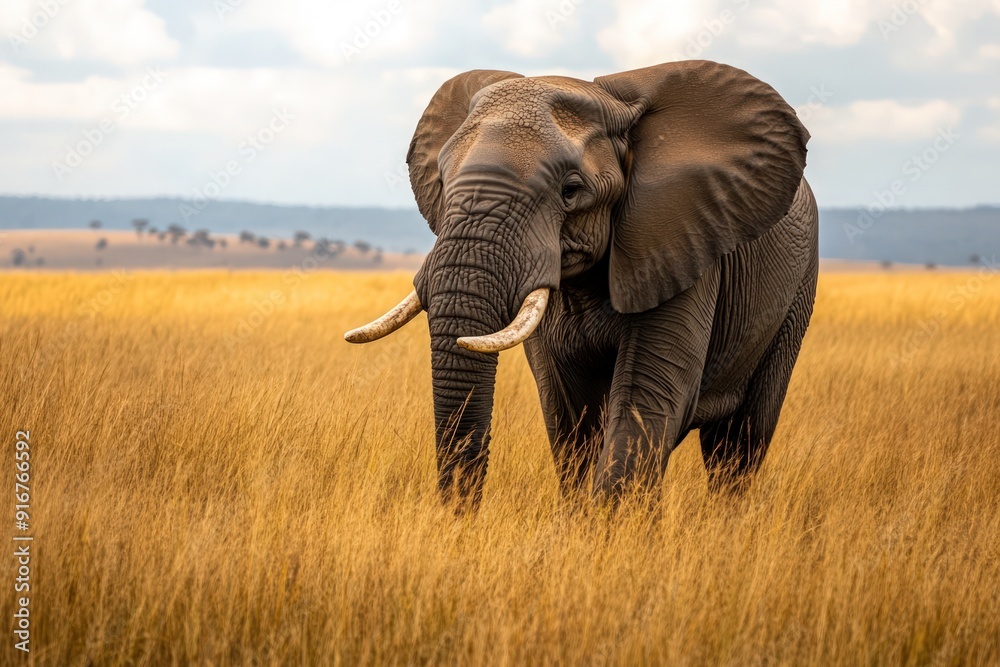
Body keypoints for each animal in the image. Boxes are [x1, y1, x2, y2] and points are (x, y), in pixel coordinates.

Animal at [346, 60, 817, 506]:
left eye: (571, 190)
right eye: (442, 183)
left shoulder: (677, 243)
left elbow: (646, 402)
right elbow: (571, 416)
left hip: (797, 294)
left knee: (739, 445)